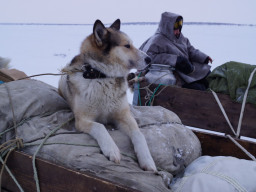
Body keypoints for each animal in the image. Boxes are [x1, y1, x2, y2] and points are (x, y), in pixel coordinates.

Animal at [59, 18, 157, 170]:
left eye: (132, 44)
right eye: (127, 45)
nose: (150, 59)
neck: (103, 77)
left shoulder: (123, 115)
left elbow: (139, 134)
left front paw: (147, 159)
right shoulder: (82, 120)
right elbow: (100, 127)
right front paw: (111, 149)